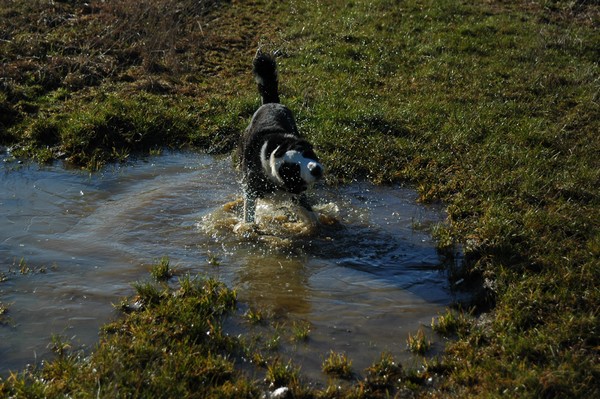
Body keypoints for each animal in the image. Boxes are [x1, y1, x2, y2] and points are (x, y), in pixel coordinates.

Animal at [239, 51, 324, 223]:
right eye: (295, 168)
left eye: (307, 153)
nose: (315, 169)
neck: (274, 153)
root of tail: (270, 102)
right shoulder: (251, 188)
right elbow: (249, 213)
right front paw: (247, 227)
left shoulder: (298, 194)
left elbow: (308, 212)